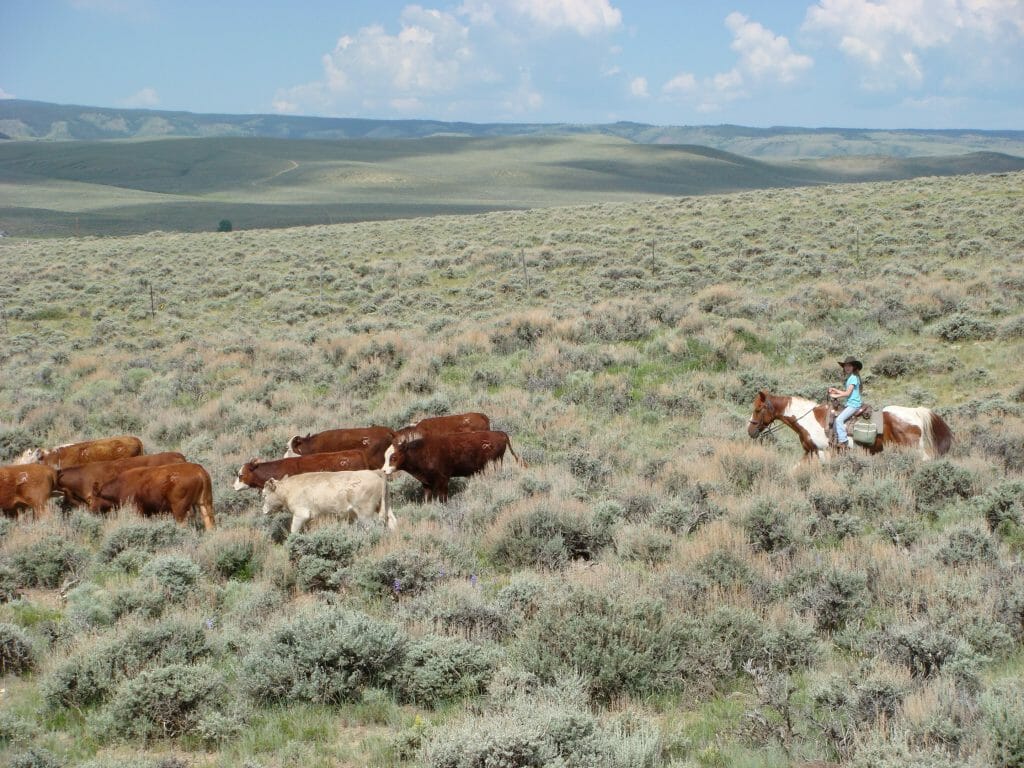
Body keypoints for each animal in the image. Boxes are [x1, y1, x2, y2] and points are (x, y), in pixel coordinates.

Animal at [87, 462, 215, 530]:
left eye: (91, 499)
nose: (91, 511)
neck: (121, 485)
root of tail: (199, 470)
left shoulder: (136, 509)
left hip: (179, 509)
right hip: (205, 503)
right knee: (209, 522)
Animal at [261, 470, 395, 534]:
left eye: (264, 495)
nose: (263, 510)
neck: (289, 489)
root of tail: (374, 472)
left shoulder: (301, 514)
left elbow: (293, 530)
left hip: (365, 514)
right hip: (386, 504)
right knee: (392, 522)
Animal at [383, 430, 520, 502]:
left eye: (393, 457)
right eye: (385, 456)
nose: (384, 470)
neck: (423, 452)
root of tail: (499, 433)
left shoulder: (443, 479)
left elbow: (443, 498)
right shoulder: (426, 483)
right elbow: (427, 498)